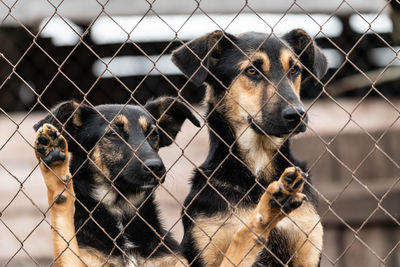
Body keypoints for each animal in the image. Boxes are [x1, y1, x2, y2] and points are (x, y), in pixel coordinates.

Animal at [173, 28, 328, 266]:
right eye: (252, 71)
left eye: (294, 69)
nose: (297, 115)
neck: (258, 170)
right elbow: (242, 234)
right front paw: (268, 210)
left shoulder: (307, 242)